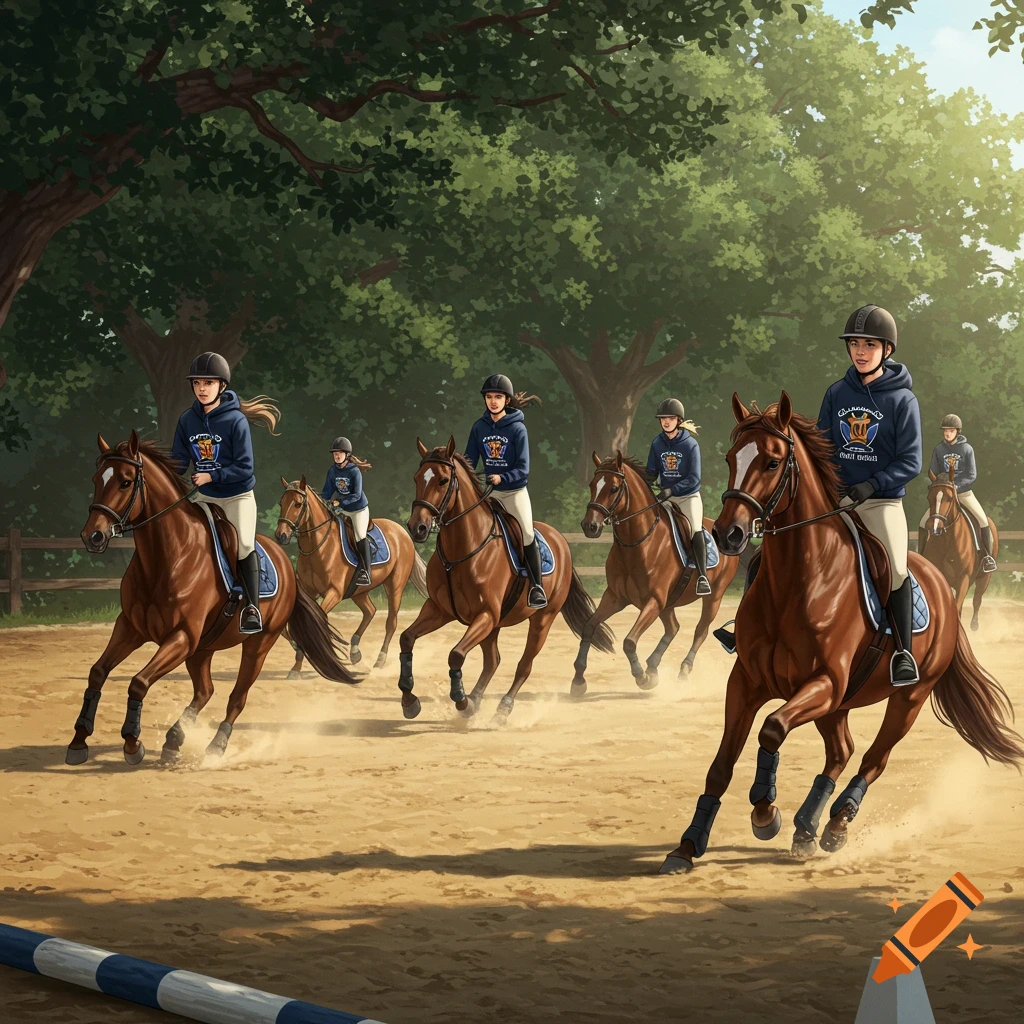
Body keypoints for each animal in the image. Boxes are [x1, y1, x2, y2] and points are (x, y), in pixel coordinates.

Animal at [72, 431, 360, 767]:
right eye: (97, 478)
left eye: (126, 482)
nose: (92, 536)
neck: (166, 557)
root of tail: (285, 562)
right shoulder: (130, 628)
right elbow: (97, 673)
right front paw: (79, 740)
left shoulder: (181, 637)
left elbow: (139, 682)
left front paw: (132, 743)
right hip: (203, 648)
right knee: (205, 691)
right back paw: (174, 739)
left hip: (257, 645)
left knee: (237, 697)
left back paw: (215, 746)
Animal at [274, 476, 428, 672]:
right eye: (281, 503)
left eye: (297, 504)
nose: (281, 535)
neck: (318, 547)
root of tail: (403, 533)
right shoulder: (308, 592)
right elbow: (290, 627)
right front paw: (296, 666)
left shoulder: (334, 593)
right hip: (358, 591)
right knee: (370, 611)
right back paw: (355, 652)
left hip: (394, 586)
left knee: (391, 622)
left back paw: (380, 660)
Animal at [399, 436, 614, 722]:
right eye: (416, 478)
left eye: (443, 480)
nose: (417, 527)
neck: (462, 551)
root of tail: (560, 541)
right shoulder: (439, 610)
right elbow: (406, 638)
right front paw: (409, 700)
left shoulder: (486, 615)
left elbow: (456, 655)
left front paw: (461, 700)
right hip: (495, 626)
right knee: (493, 661)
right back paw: (476, 700)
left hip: (541, 620)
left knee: (524, 665)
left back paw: (502, 708)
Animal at [575, 451, 739, 691]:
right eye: (592, 484)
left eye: (613, 488)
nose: (590, 526)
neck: (639, 544)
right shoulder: (615, 597)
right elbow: (589, 626)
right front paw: (578, 679)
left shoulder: (653, 601)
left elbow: (629, 641)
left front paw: (641, 677)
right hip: (669, 603)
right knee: (673, 628)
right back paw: (653, 666)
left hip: (713, 597)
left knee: (700, 630)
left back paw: (682, 670)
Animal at [921, 468, 999, 631]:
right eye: (929, 497)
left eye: (949, 498)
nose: (934, 527)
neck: (947, 542)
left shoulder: (963, 579)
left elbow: (957, 606)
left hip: (985, 577)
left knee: (977, 599)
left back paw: (974, 625)